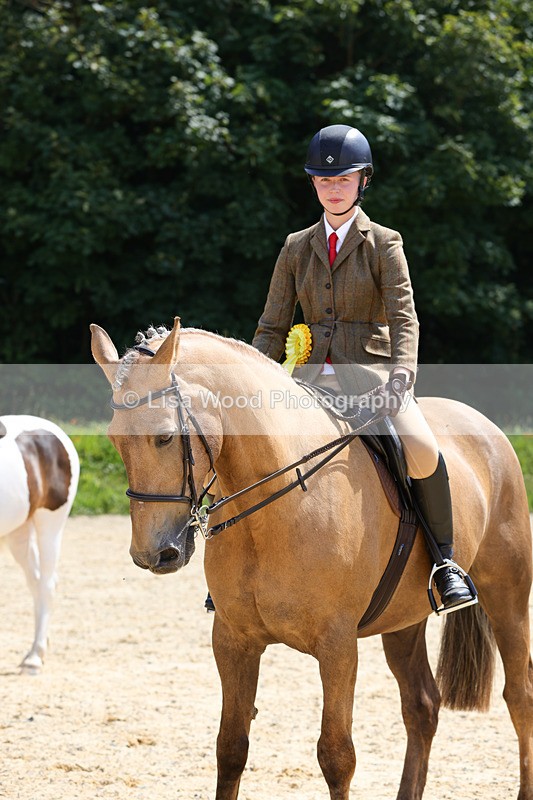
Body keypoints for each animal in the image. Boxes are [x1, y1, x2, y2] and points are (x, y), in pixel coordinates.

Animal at [90, 317, 533, 800]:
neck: (274, 509)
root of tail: (483, 424)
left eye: (165, 436)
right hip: (403, 619)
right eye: (115, 440)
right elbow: (230, 748)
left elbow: (336, 757)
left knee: (519, 697)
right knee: (422, 706)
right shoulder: (232, 640)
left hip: (507, 597)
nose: (153, 554)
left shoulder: (337, 646)